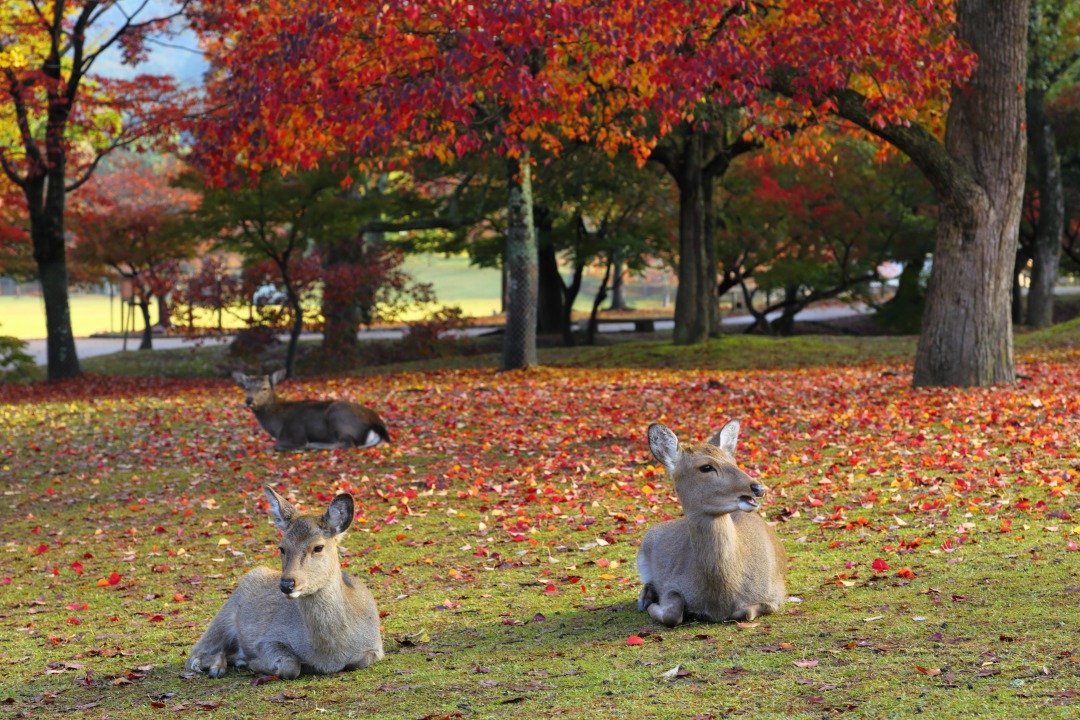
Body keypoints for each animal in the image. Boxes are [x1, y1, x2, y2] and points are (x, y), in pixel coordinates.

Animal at [185, 483, 384, 682]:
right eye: (281, 547)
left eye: (318, 547)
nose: (287, 584)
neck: (329, 655)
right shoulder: (267, 638)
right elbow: (290, 666)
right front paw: (252, 662)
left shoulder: (376, 646)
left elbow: (357, 662)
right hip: (223, 617)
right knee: (196, 653)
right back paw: (220, 667)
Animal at [232, 371, 393, 451]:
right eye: (246, 387)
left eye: (264, 388)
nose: (249, 400)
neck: (277, 425)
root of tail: (378, 427)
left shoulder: (295, 434)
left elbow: (275, 445)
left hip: (338, 416)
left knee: (347, 443)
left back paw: (313, 445)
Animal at [635, 418, 790, 626]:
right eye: (706, 467)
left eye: (733, 461)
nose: (758, 488)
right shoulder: (671, 583)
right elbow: (671, 615)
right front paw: (653, 605)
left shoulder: (776, 593)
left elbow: (745, 612)